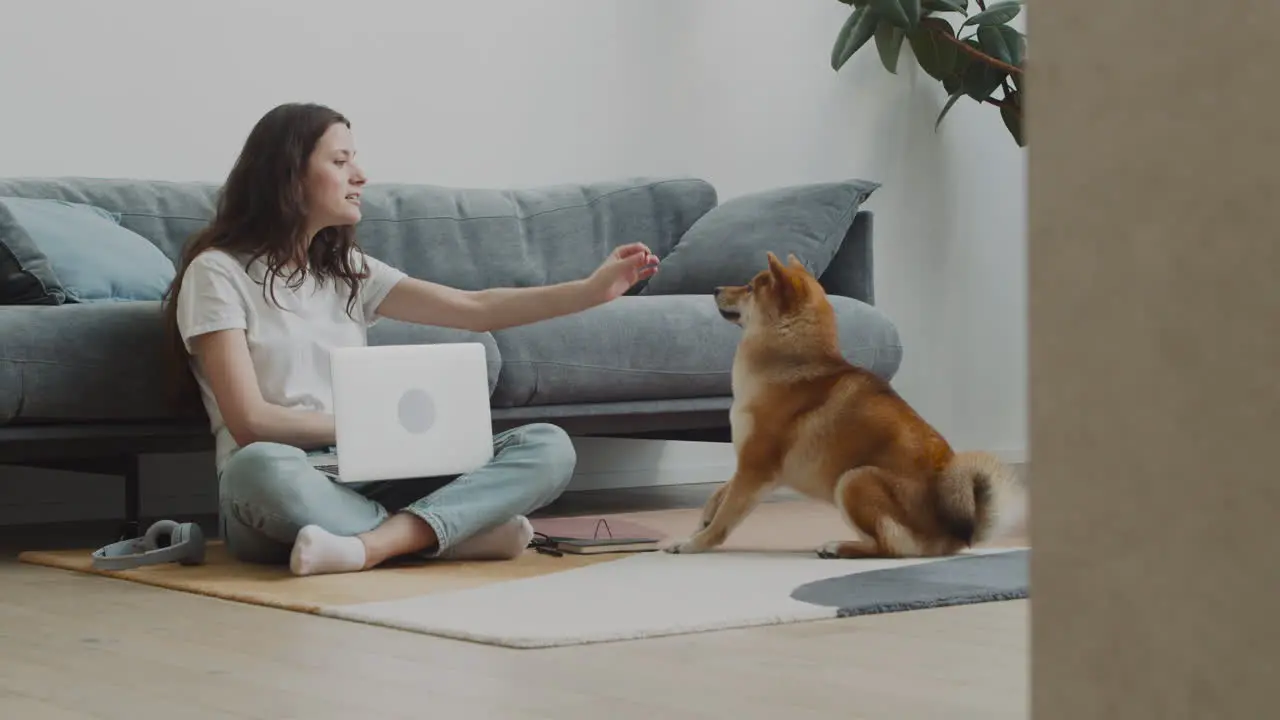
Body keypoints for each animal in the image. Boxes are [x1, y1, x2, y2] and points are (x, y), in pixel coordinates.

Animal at [665, 251, 1024, 556]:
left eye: (751, 287)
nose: (715, 288)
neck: (790, 362)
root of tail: (953, 536)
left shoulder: (757, 468)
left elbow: (725, 518)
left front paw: (693, 544)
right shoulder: (748, 465)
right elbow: (718, 495)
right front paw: (701, 521)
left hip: (853, 480)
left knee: (890, 547)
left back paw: (839, 547)